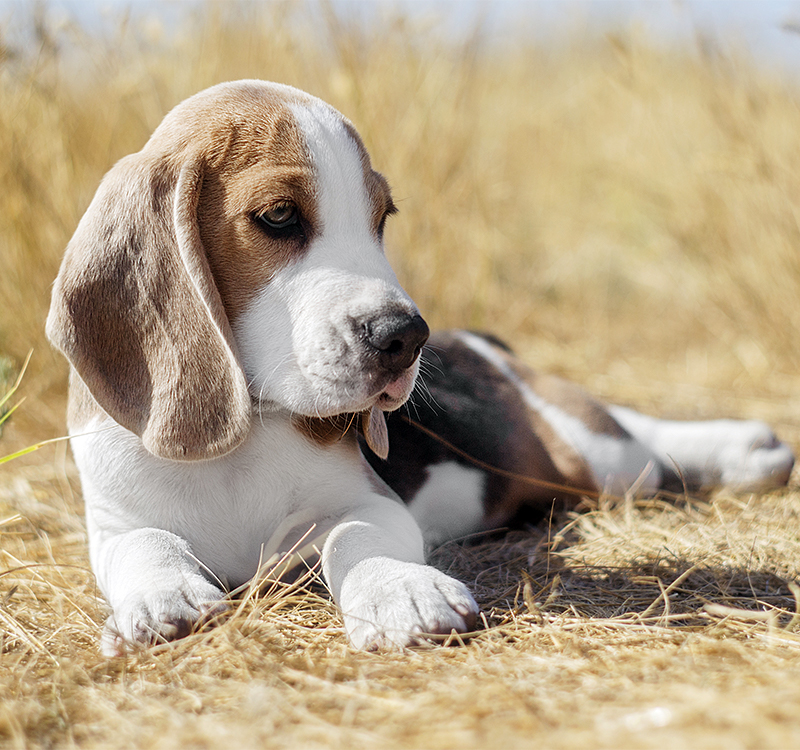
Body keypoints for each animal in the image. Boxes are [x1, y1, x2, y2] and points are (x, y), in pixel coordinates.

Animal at [48, 82, 792, 656]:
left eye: (383, 217)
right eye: (280, 215)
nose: (406, 337)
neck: (249, 431)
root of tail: (475, 340)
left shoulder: (373, 503)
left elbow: (354, 537)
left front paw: (402, 592)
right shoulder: (113, 523)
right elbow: (145, 544)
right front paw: (161, 600)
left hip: (600, 459)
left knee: (636, 443)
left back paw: (746, 450)